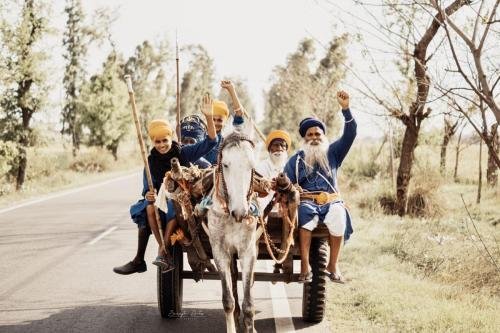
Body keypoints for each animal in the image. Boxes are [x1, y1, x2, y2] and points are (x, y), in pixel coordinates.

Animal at [207, 132, 260, 332]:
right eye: (225, 164)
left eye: (252, 166)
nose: (240, 212)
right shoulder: (219, 252)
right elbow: (228, 300)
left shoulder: (248, 252)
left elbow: (249, 304)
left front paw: (249, 325)